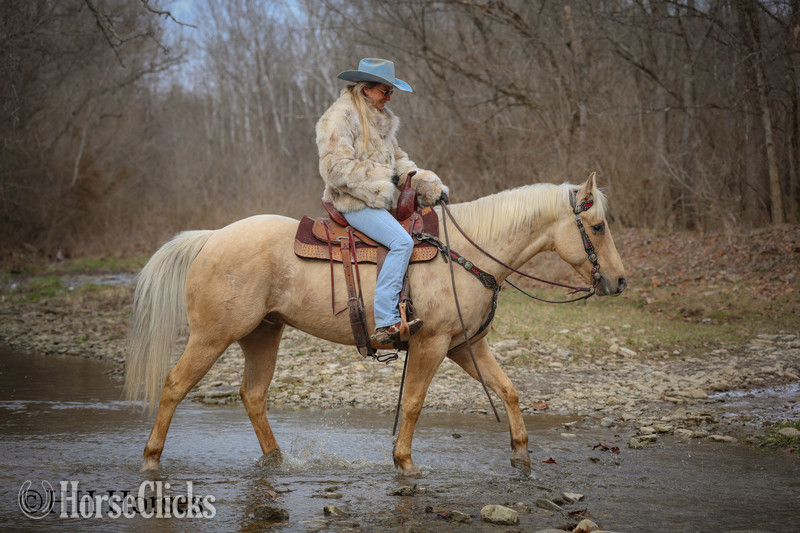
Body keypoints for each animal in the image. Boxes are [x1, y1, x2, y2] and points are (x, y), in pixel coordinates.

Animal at [125, 172, 626, 476]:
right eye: (598, 226)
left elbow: (508, 390)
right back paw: (150, 460)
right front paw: (404, 463)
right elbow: (414, 404)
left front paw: (521, 453)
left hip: (263, 333)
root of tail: (211, 238)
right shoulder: (431, 344)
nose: (620, 280)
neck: (468, 254)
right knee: (174, 385)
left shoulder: (466, 346)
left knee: (252, 395)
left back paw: (276, 459)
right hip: (213, 337)